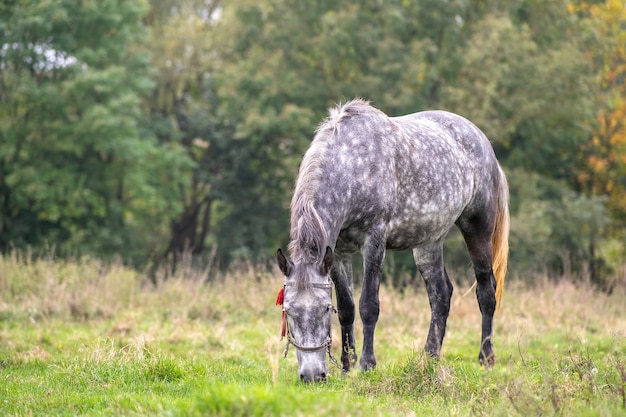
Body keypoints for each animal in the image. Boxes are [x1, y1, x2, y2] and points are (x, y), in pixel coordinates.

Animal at [276, 99, 508, 382]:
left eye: (323, 309)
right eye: (289, 312)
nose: (312, 375)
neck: (352, 165)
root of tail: (483, 142)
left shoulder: (374, 241)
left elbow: (368, 305)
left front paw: (367, 364)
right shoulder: (339, 252)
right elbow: (347, 308)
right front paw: (346, 366)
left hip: (477, 229)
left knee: (486, 291)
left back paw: (486, 357)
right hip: (429, 242)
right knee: (440, 295)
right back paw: (429, 358)